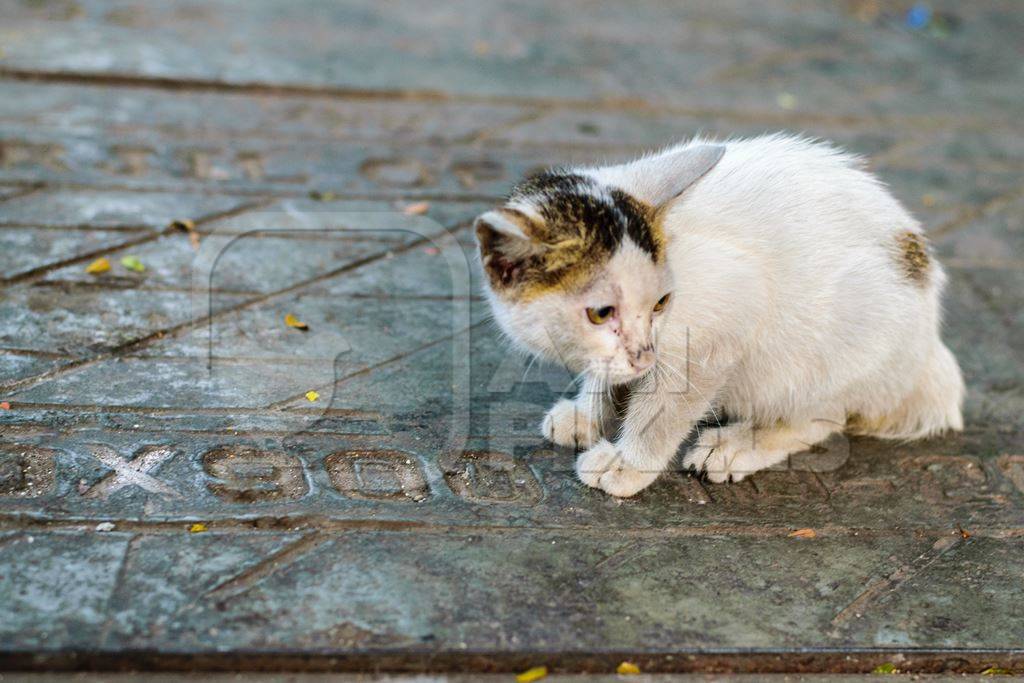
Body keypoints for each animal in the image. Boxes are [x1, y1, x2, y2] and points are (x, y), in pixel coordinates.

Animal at [475, 135, 962, 497]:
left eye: (661, 303)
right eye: (600, 313)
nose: (645, 356)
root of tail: (927, 352)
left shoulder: (727, 319)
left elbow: (666, 409)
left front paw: (628, 462)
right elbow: (607, 370)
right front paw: (588, 412)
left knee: (826, 416)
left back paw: (738, 445)